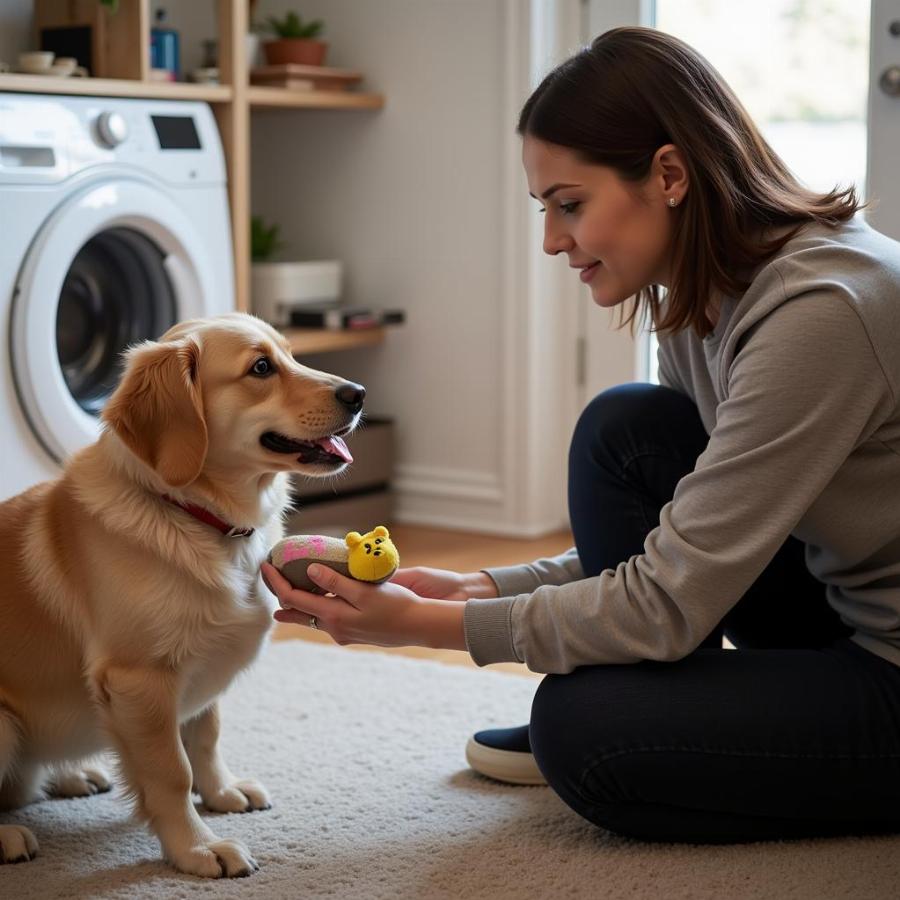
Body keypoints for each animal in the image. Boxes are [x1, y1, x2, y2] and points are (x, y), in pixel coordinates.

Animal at [0, 312, 366, 876]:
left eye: (291, 353)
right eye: (261, 368)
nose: (359, 394)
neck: (199, 517)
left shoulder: (203, 661)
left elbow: (206, 738)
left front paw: (222, 792)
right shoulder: (140, 679)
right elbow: (172, 773)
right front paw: (196, 848)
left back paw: (71, 775)